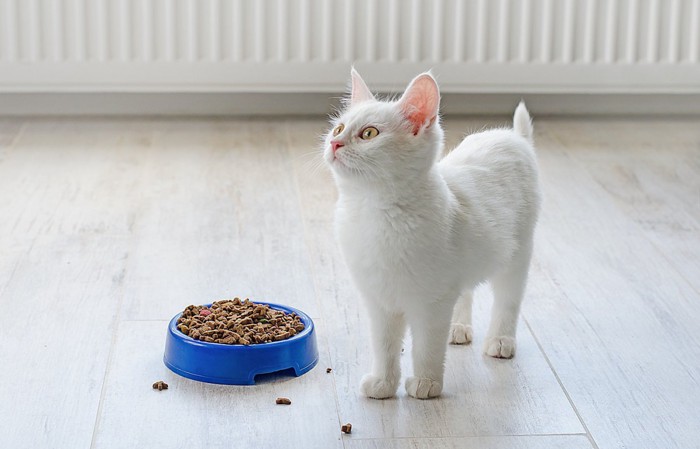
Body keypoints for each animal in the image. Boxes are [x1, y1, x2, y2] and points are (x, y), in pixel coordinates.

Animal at [322, 69, 540, 400]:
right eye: (339, 127)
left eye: (369, 134)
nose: (335, 143)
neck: (373, 212)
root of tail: (513, 137)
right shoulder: (380, 302)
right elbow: (384, 346)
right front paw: (383, 384)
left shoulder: (431, 303)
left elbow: (426, 346)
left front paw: (426, 383)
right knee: (466, 290)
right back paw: (459, 328)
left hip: (518, 254)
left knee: (508, 300)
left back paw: (501, 340)